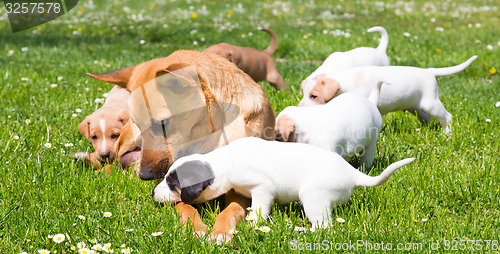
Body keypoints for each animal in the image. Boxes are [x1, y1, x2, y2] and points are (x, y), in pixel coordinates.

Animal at [85, 49, 274, 242]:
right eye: (138, 123)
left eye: (161, 124)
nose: (144, 176)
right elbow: (185, 207)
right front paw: (197, 227)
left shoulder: (239, 190)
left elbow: (232, 209)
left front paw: (221, 231)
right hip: (127, 142)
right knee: (113, 159)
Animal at [151, 138, 414, 229]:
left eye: (173, 185)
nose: (153, 193)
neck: (223, 161)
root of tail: (352, 174)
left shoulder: (262, 189)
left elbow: (259, 208)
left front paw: (253, 222)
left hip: (314, 197)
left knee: (324, 225)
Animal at [298, 55, 478, 133]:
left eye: (313, 96)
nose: (299, 108)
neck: (344, 83)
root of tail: (429, 72)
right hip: (416, 107)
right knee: (425, 119)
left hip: (431, 104)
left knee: (448, 117)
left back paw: (446, 134)